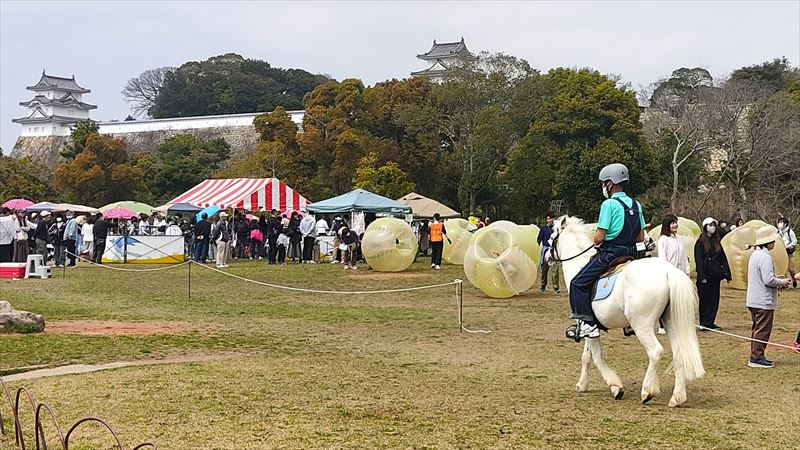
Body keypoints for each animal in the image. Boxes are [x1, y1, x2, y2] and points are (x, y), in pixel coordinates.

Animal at [548, 216, 704, 406]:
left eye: (552, 236)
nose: (547, 256)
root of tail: (668, 271)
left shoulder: (588, 325)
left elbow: (597, 357)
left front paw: (615, 387)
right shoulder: (589, 327)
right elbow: (587, 356)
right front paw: (582, 384)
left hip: (642, 325)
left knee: (655, 352)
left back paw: (647, 391)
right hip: (670, 323)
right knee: (679, 354)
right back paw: (677, 397)